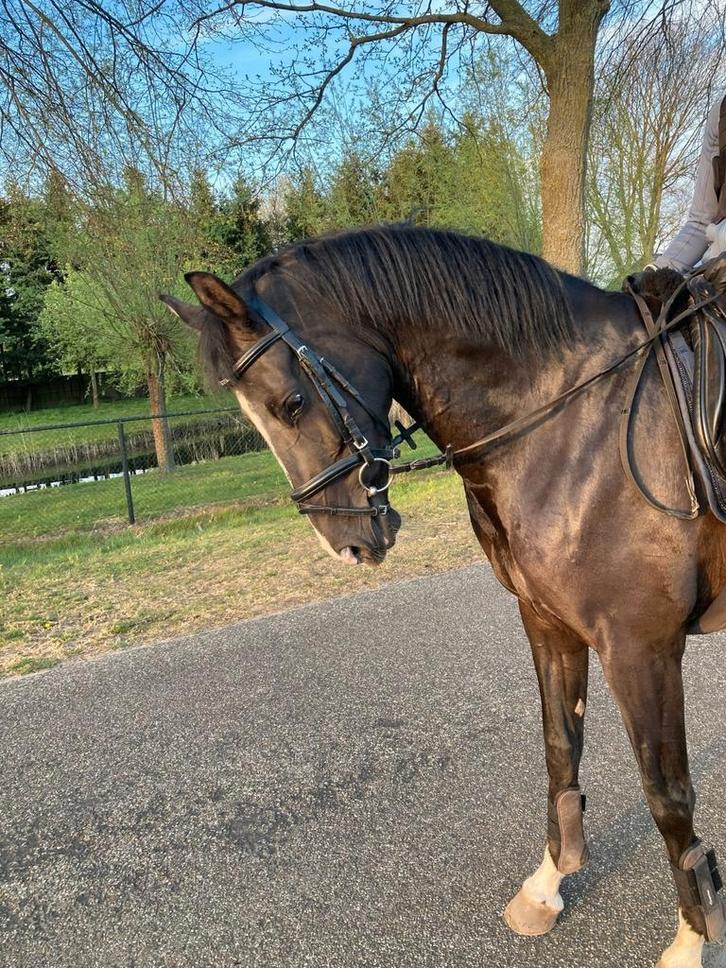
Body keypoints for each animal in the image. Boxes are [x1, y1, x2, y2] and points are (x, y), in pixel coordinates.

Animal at [162, 223, 726, 968]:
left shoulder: (641, 645)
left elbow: (667, 795)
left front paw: (691, 937)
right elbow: (560, 747)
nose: (346, 545)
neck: (569, 419)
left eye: (291, 402)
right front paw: (547, 885)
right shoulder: (547, 622)